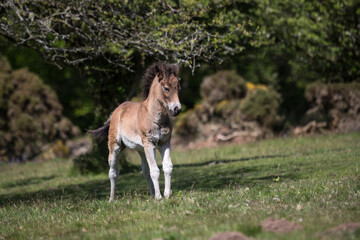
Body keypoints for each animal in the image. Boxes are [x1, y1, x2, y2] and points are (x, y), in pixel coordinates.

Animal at [89, 62, 181, 202]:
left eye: (178, 87)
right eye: (166, 88)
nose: (177, 109)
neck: (154, 117)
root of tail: (116, 110)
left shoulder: (165, 142)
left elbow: (167, 167)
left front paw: (166, 194)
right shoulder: (149, 143)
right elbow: (155, 170)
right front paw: (159, 197)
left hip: (141, 149)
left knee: (145, 170)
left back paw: (151, 194)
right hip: (115, 145)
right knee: (113, 171)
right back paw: (111, 199)